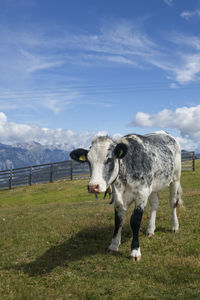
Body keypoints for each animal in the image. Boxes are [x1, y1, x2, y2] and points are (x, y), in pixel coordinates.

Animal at [70, 132, 183, 262]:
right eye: (88, 161)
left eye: (109, 159)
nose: (93, 186)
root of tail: (164, 133)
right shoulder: (118, 199)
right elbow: (118, 221)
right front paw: (113, 246)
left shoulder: (142, 194)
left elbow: (135, 221)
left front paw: (135, 251)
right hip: (153, 185)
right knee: (155, 205)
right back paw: (150, 229)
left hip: (175, 178)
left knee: (173, 202)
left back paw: (174, 226)